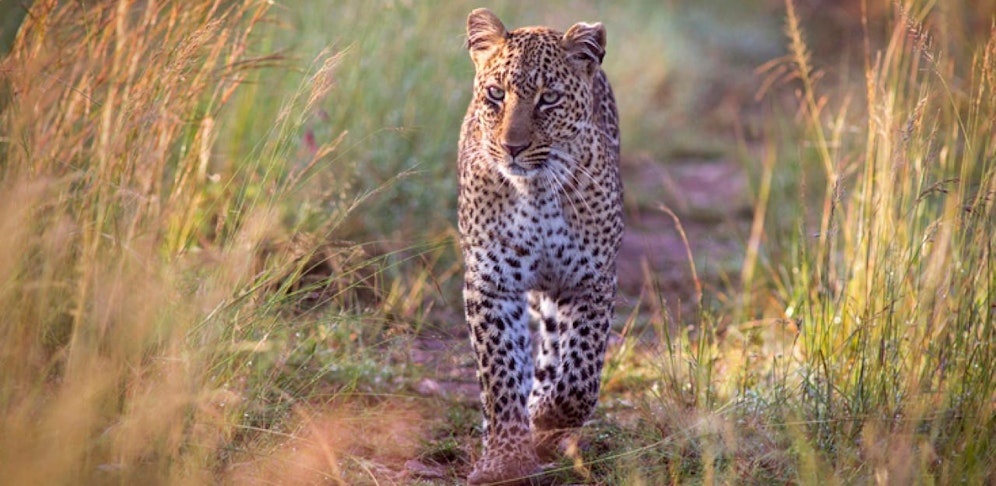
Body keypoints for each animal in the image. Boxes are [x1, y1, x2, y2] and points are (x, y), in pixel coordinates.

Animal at [456, 8, 623, 484]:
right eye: (495, 94)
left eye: (548, 99)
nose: (512, 147)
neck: (537, 193)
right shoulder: (491, 284)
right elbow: (500, 373)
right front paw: (504, 458)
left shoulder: (591, 281)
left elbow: (580, 375)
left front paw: (547, 419)